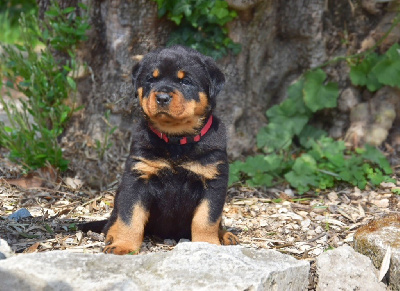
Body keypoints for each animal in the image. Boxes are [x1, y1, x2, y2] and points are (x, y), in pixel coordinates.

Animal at [104, 45, 241, 256]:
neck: (176, 141)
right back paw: (112, 234)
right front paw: (123, 246)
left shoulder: (213, 180)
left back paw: (225, 235)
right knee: (113, 219)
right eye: (151, 79)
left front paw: (208, 245)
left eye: (185, 81)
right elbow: (130, 216)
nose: (162, 97)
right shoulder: (137, 178)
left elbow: (206, 219)